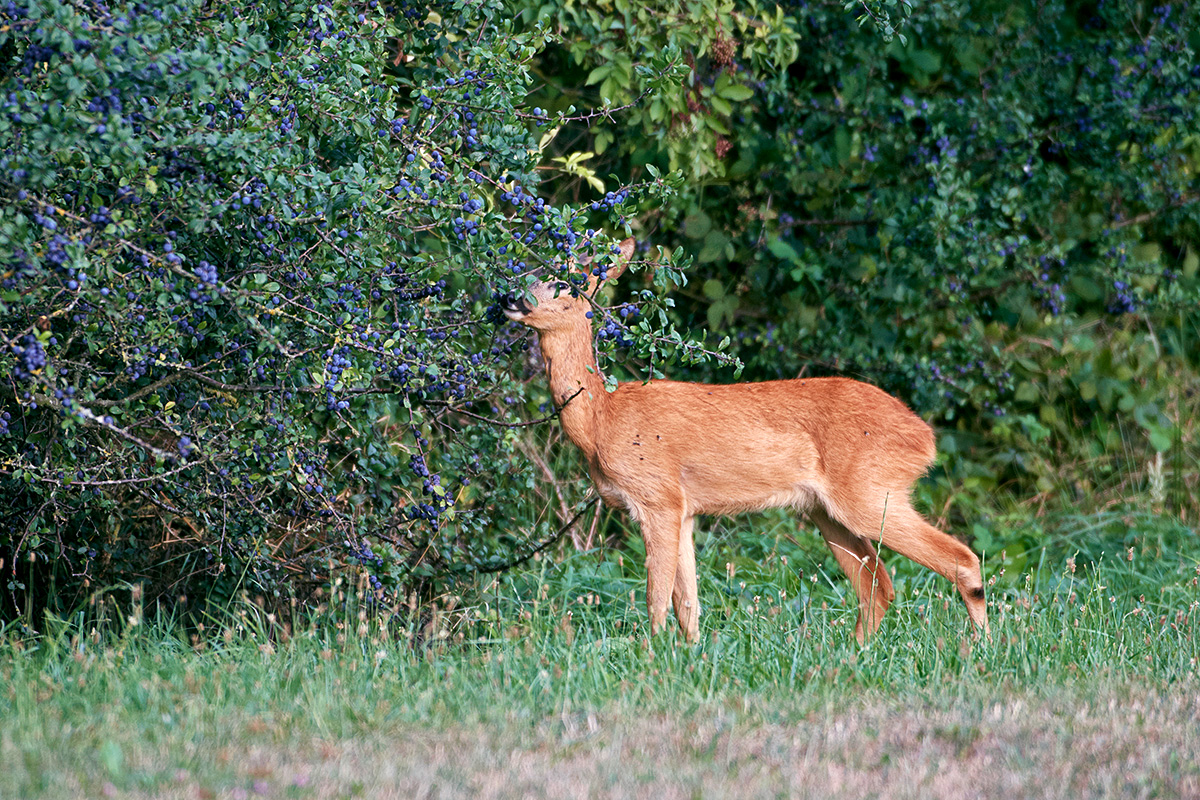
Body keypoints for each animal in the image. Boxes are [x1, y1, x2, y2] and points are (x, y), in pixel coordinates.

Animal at [501, 237, 988, 642]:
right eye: (527, 267)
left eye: (564, 283)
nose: (509, 296)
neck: (602, 423)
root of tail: (925, 436)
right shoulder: (685, 510)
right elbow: (688, 604)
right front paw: (691, 656)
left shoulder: (659, 498)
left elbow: (656, 600)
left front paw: (651, 657)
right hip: (827, 510)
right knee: (877, 585)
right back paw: (856, 652)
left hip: (869, 492)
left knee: (961, 559)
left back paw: (979, 649)